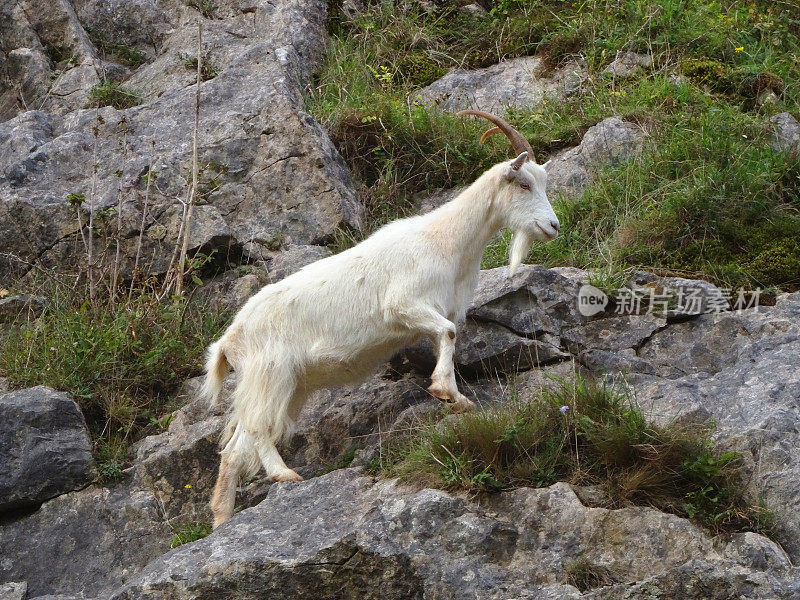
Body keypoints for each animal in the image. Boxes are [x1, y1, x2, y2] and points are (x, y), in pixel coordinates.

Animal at [203, 110, 560, 528]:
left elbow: (446, 336)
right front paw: (446, 390)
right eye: (523, 184)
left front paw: (458, 400)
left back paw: (222, 521)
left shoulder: (433, 312)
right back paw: (283, 474)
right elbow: (449, 333)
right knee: (259, 428)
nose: (553, 226)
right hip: (269, 373)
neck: (447, 240)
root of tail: (228, 341)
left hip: (288, 385)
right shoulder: (403, 305)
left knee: (234, 448)